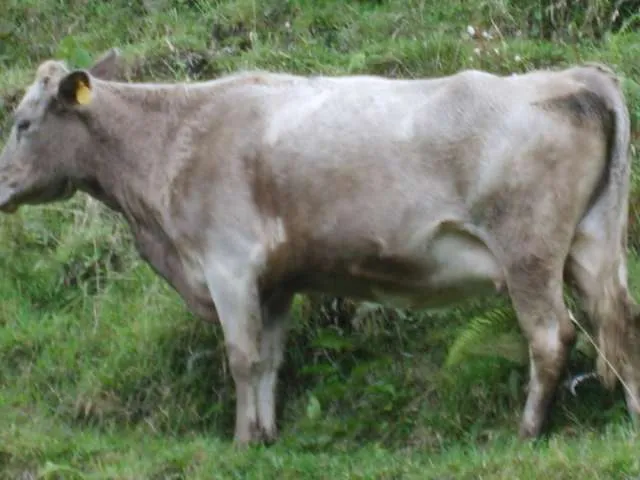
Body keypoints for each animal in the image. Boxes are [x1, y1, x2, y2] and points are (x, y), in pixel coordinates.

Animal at [0, 48, 638, 446]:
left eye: (23, 123)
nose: (1, 186)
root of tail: (576, 76)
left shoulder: (228, 263)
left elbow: (241, 357)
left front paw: (241, 439)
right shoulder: (275, 281)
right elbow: (269, 360)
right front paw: (266, 435)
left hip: (527, 249)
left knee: (552, 336)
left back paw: (527, 430)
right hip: (593, 244)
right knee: (619, 322)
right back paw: (632, 414)